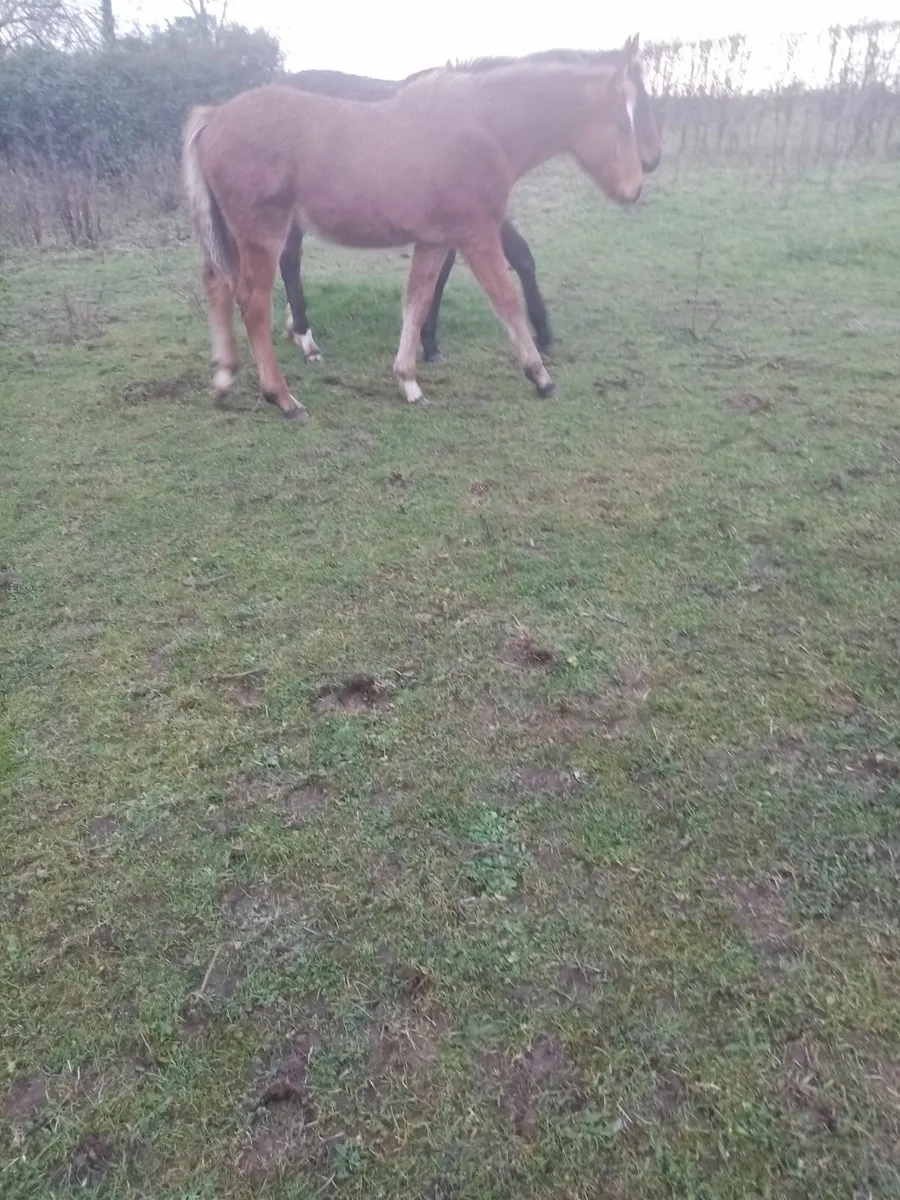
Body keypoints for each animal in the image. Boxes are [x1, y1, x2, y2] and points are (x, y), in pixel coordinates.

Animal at [278, 67, 556, 366]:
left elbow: (521, 256)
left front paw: (544, 335)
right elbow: (439, 277)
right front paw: (430, 345)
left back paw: (294, 330)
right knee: (289, 263)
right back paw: (307, 341)